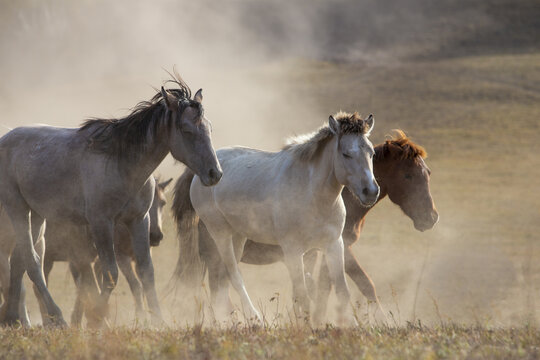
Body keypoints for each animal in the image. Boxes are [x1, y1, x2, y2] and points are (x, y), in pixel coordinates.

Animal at [0, 75, 221, 326]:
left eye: (208, 127)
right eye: (186, 130)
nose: (215, 173)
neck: (121, 164)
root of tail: (5, 139)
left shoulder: (139, 221)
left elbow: (147, 272)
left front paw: (158, 321)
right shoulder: (101, 223)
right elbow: (111, 273)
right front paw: (97, 317)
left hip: (37, 215)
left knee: (20, 261)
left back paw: (13, 318)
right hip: (17, 209)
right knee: (32, 260)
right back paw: (55, 317)